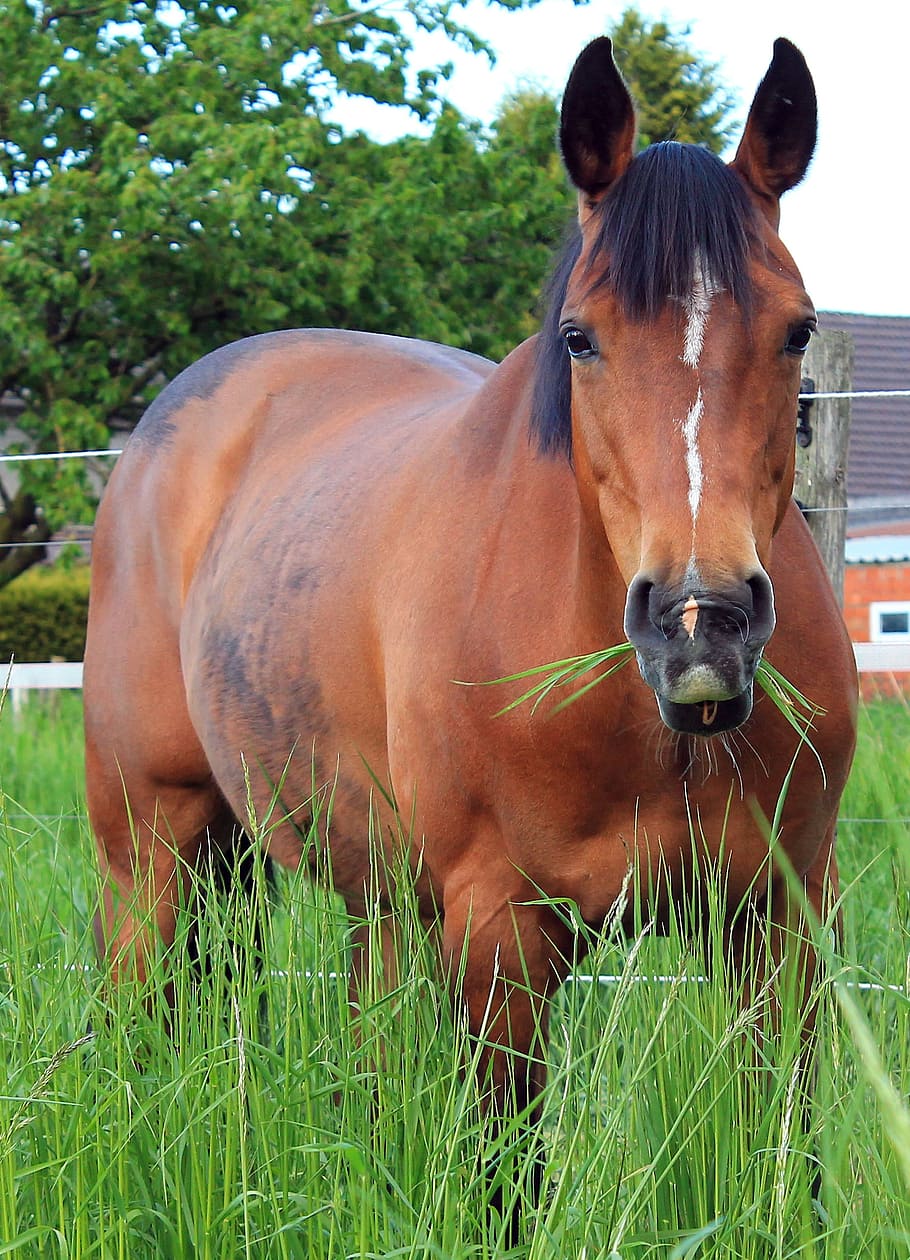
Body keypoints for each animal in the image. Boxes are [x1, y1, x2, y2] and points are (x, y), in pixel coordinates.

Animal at [84, 34, 856, 1221]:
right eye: (579, 337)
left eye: (797, 329)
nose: (703, 623)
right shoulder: (500, 931)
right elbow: (506, 1176)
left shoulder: (779, 919)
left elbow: (784, 1163)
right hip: (150, 854)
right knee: (141, 1030)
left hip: (373, 896)